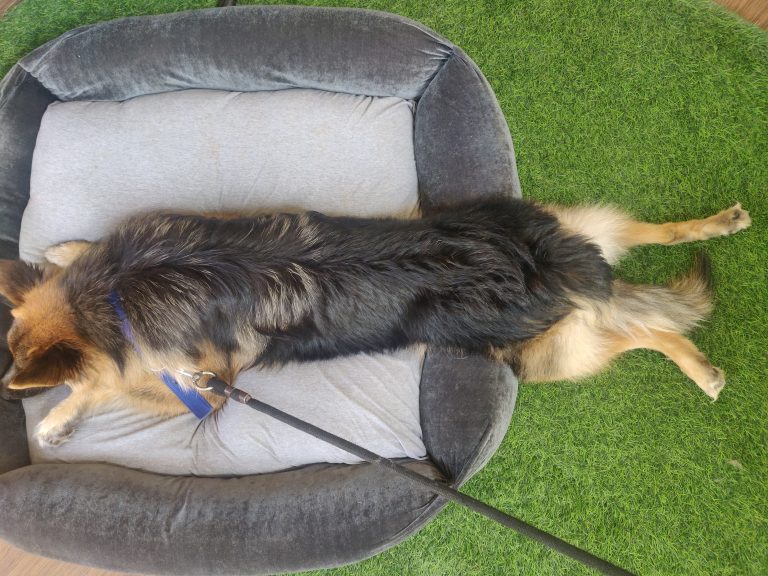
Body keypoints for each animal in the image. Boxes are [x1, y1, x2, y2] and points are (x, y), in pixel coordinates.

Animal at [0, 198, 752, 446]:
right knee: (644, 257)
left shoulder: (203, 385)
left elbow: (103, 386)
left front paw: (57, 416)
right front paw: (62, 252)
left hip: (544, 355)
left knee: (639, 328)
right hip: (568, 248)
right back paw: (719, 226)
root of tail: (541, 269)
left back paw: (701, 368)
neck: (115, 295)